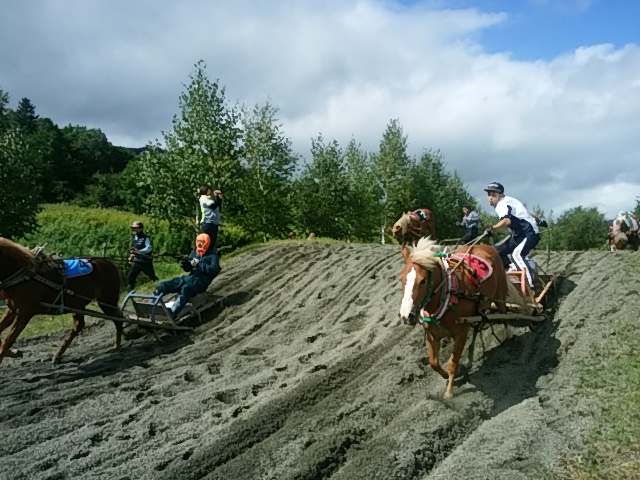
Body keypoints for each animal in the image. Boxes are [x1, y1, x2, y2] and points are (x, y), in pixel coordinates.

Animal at [0, 238, 124, 366]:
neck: (25, 273)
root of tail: (110, 263)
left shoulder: (25, 312)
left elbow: (7, 340)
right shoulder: (12, 309)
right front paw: (12, 352)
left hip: (107, 301)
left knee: (118, 319)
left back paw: (117, 346)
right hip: (77, 304)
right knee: (79, 325)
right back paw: (58, 355)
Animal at [400, 236, 520, 398]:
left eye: (423, 280)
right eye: (401, 279)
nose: (406, 316)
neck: (448, 294)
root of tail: (486, 246)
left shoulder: (461, 333)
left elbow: (453, 363)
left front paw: (449, 392)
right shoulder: (432, 335)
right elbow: (433, 363)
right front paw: (445, 376)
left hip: (499, 294)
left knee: (504, 316)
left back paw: (508, 336)